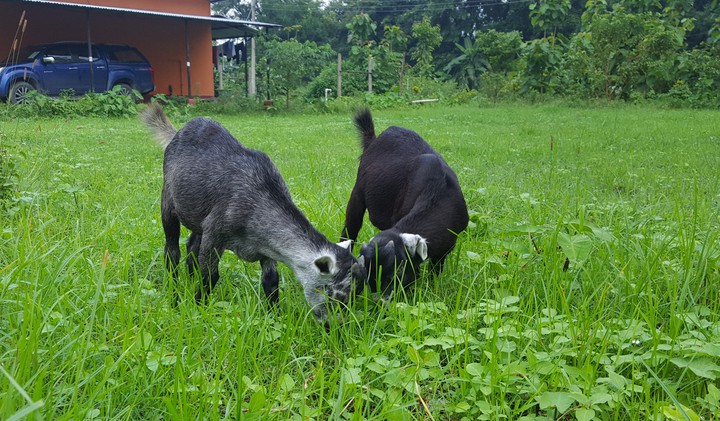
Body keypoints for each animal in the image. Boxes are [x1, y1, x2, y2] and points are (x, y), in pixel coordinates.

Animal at [141, 104, 365, 323]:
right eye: (339, 297)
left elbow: (271, 280)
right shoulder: (215, 232)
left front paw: (274, 315)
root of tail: (178, 133)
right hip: (168, 200)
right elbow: (210, 275)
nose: (335, 327)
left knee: (191, 248)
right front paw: (198, 308)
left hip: (198, 216)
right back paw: (174, 291)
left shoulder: (267, 247)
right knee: (172, 251)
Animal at [341, 108, 468, 298]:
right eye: (369, 278)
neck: (438, 194)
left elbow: (435, 270)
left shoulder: (446, 247)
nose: (381, 300)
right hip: (357, 193)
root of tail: (375, 139)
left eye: (399, 271)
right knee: (351, 229)